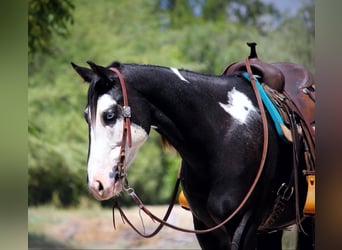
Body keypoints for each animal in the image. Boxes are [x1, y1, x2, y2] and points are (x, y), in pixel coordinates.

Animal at [72, 48, 316, 248]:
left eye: (109, 115)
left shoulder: (243, 225)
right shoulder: (206, 229)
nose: (97, 184)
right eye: (86, 117)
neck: (223, 135)